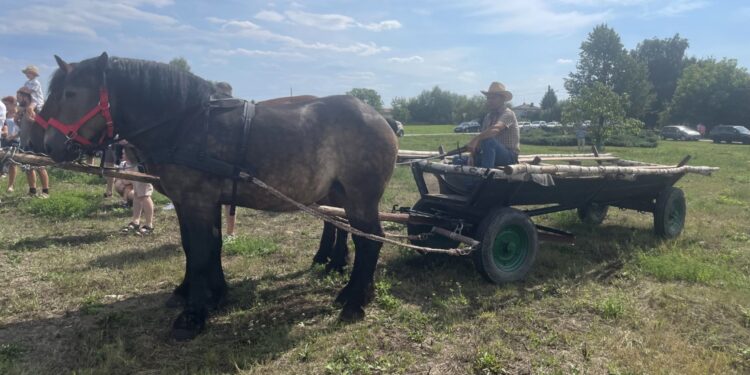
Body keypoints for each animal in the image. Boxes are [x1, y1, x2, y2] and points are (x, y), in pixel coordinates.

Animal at [41, 53, 400, 340]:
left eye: (70, 93)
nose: (47, 145)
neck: (186, 124)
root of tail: (381, 117)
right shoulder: (197, 202)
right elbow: (201, 247)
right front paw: (210, 295)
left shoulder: (197, 200)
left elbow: (200, 251)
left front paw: (193, 314)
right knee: (356, 236)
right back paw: (355, 289)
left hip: (360, 198)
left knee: (369, 242)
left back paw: (353, 303)